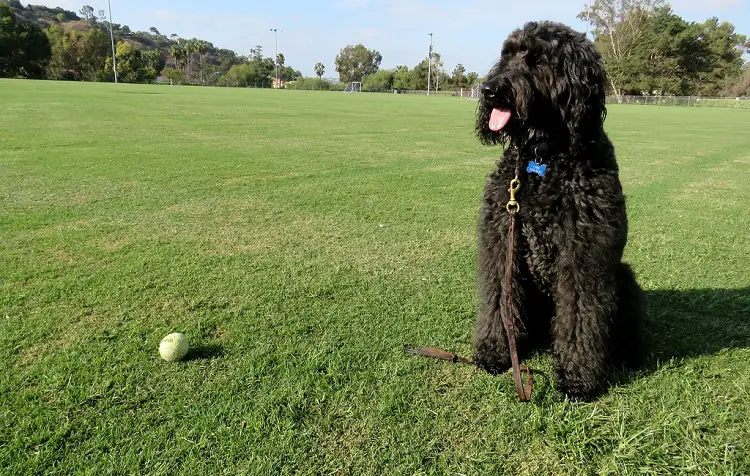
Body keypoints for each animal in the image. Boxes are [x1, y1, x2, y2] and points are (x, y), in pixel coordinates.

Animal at [476, 22, 648, 402]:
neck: (543, 160)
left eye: (539, 59)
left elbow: (580, 314)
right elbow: (498, 300)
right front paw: (494, 352)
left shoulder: (582, 254)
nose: (489, 90)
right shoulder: (502, 244)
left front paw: (577, 378)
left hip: (623, 277)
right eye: (508, 54)